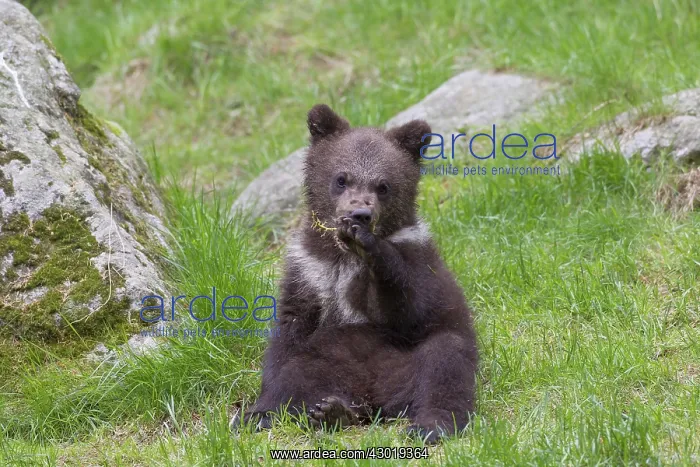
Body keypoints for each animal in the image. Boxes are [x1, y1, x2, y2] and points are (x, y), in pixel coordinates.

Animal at [240, 104, 479, 443]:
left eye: (383, 185)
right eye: (341, 179)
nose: (359, 214)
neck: (342, 258)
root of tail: (375, 401)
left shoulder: (416, 262)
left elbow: (406, 310)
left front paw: (371, 247)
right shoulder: (309, 270)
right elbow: (289, 330)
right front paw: (261, 407)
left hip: (411, 362)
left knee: (444, 363)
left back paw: (431, 425)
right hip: (329, 365)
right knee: (298, 376)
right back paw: (324, 412)